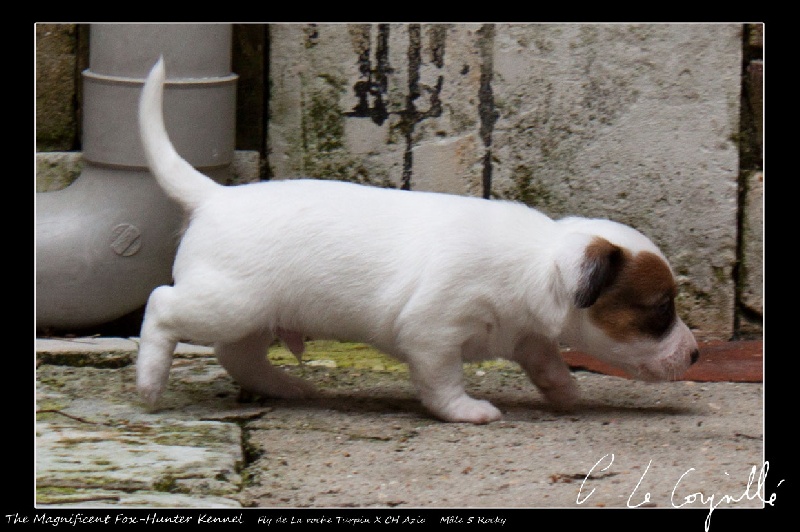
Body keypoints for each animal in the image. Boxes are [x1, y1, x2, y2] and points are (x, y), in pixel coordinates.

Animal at [137, 58, 699, 423]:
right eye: (660, 309)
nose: (695, 356)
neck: (536, 263)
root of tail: (215, 196)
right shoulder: (434, 332)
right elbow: (443, 381)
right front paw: (468, 411)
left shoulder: (525, 334)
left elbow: (547, 361)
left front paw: (565, 391)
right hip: (229, 302)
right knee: (163, 305)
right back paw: (149, 382)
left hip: (256, 316)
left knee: (240, 356)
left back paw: (285, 386)